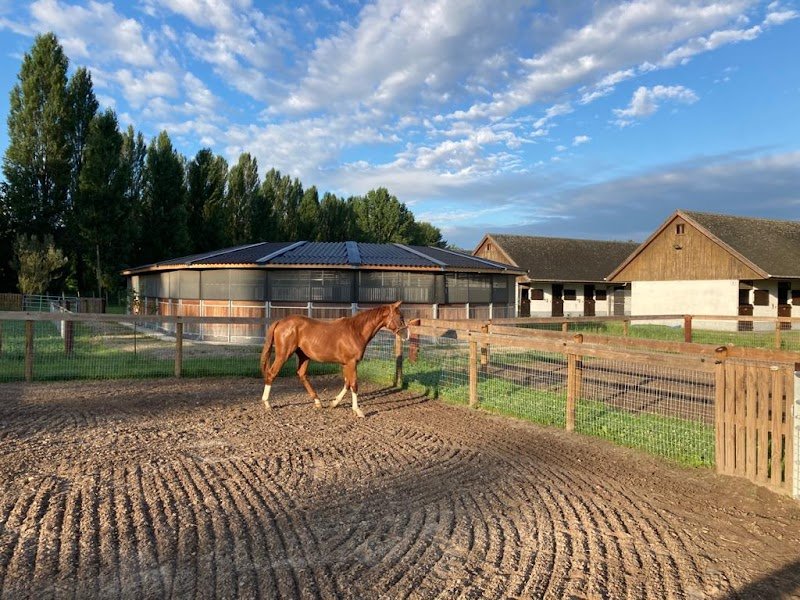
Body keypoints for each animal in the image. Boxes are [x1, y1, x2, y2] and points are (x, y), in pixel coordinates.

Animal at [259, 301, 407, 417]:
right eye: (400, 316)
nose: (406, 334)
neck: (356, 331)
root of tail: (280, 322)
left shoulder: (346, 364)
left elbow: (347, 383)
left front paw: (334, 403)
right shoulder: (352, 363)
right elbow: (354, 384)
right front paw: (358, 411)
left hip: (303, 356)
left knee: (301, 374)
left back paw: (318, 402)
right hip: (283, 354)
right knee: (272, 373)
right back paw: (267, 404)